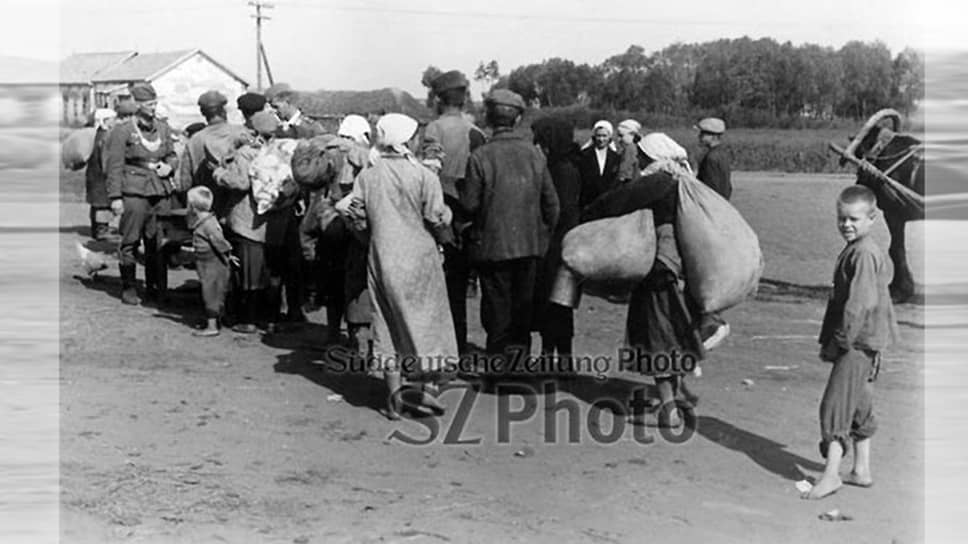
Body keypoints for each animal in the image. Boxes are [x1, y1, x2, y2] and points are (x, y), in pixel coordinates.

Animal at [840, 108, 924, 304]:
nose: (859, 183)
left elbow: (896, 250)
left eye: (860, 153)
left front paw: (899, 291)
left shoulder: (894, 213)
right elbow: (896, 249)